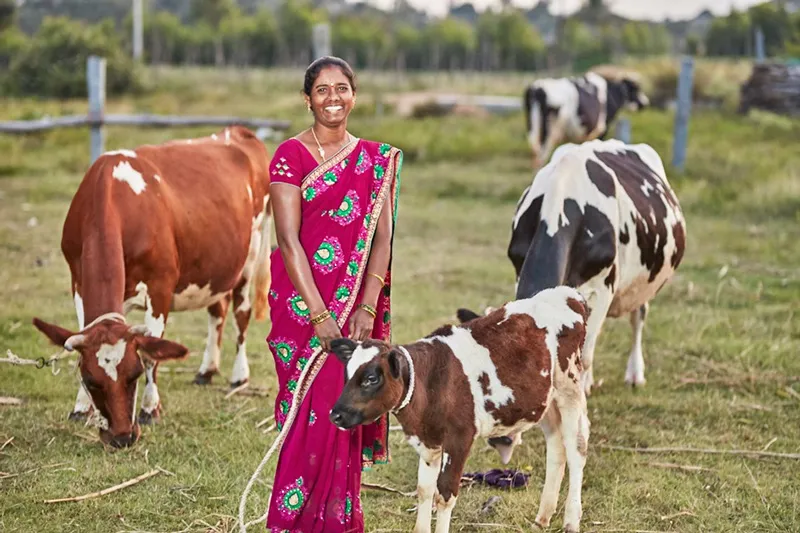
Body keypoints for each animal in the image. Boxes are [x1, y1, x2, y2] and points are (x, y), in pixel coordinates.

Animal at [32, 124, 272, 444]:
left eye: (133, 375)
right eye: (90, 379)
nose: (121, 437)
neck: (112, 197)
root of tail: (238, 131)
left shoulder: (160, 287)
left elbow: (151, 356)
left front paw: (150, 409)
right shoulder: (78, 282)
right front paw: (81, 408)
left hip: (251, 252)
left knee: (241, 315)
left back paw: (239, 376)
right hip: (216, 265)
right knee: (217, 311)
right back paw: (207, 370)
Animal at [328, 286, 592, 532]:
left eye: (371, 378)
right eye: (347, 373)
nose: (335, 414)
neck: (431, 379)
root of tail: (569, 294)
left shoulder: (460, 437)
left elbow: (445, 494)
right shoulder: (429, 440)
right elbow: (424, 489)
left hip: (570, 389)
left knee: (576, 448)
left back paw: (571, 520)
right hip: (546, 399)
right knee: (556, 446)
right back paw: (542, 518)